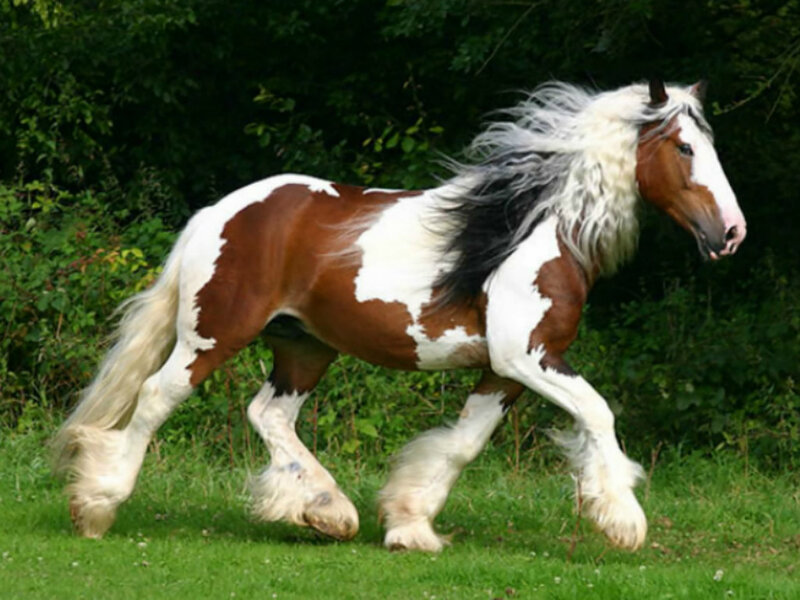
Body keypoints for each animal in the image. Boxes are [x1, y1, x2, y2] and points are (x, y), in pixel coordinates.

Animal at [52, 78, 746, 552]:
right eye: (684, 147)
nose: (732, 234)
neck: (531, 232)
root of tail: (217, 212)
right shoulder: (531, 358)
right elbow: (598, 413)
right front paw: (623, 520)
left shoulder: (505, 371)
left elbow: (462, 444)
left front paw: (409, 525)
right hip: (213, 334)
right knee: (155, 397)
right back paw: (97, 505)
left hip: (304, 346)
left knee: (268, 413)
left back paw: (327, 510)